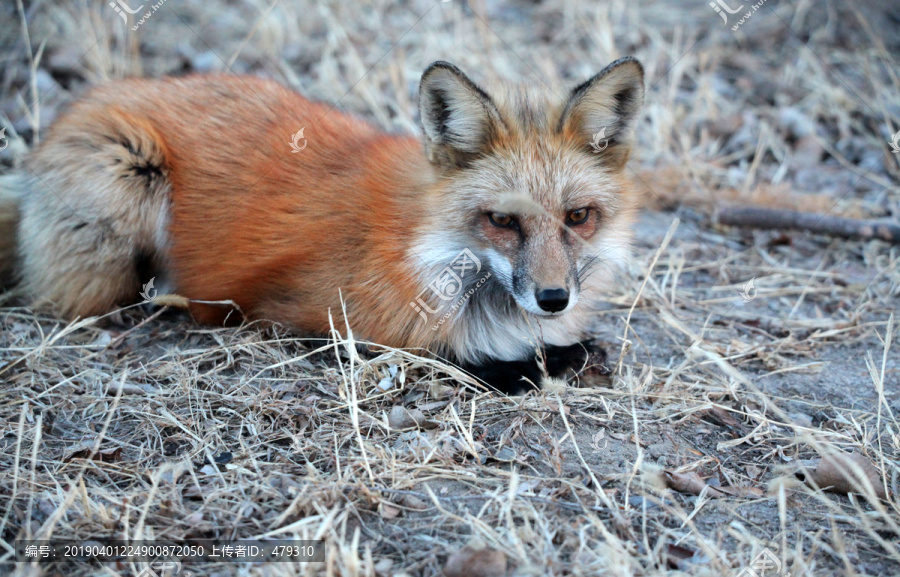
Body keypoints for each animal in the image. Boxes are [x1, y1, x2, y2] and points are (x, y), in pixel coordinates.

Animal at [0, 58, 648, 392]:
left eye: (578, 217)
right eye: (502, 221)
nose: (554, 299)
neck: (426, 248)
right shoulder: (305, 319)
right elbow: (455, 359)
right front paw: (547, 361)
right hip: (127, 175)